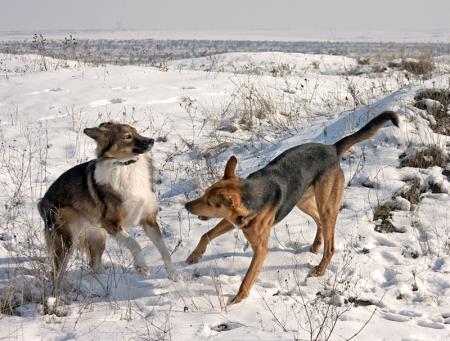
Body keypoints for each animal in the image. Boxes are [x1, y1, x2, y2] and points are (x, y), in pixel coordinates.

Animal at [38, 121, 178, 288]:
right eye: (127, 136)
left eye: (135, 131)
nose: (151, 140)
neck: (125, 165)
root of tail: (42, 201)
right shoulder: (111, 223)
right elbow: (134, 243)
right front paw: (141, 266)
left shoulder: (149, 220)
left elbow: (164, 249)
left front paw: (173, 274)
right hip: (67, 240)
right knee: (56, 272)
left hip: (98, 236)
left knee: (94, 264)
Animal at [185, 111, 400, 302]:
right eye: (204, 194)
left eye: (210, 203)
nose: (187, 206)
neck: (251, 196)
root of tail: (332, 149)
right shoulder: (231, 220)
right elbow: (206, 235)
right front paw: (195, 256)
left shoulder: (260, 249)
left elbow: (247, 278)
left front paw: (237, 299)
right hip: (303, 201)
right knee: (319, 222)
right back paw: (316, 244)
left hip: (326, 206)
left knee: (330, 246)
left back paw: (320, 269)